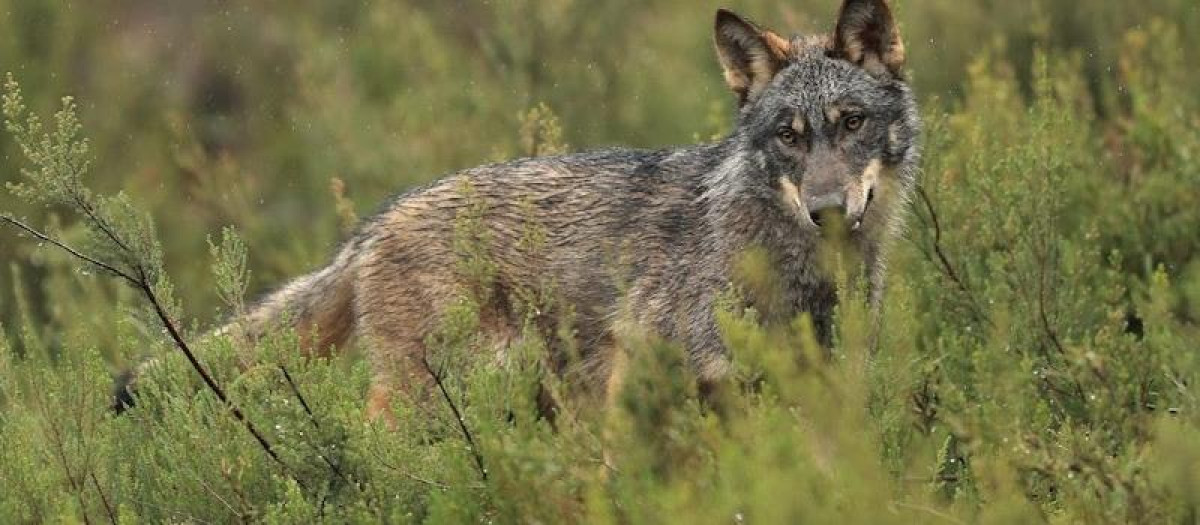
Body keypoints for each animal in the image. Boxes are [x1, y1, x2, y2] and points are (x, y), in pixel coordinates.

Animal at [115, 0, 920, 421]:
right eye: (789, 135)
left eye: (851, 123)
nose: (827, 210)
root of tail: (373, 225)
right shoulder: (649, 375)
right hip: (442, 393)